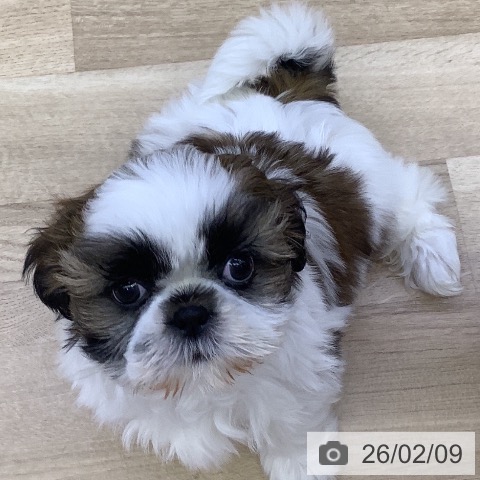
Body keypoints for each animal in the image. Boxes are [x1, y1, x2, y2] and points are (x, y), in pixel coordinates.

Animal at [23, 4, 462, 479]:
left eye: (239, 267)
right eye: (127, 290)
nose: (190, 311)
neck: (208, 378)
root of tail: (283, 93)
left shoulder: (301, 368)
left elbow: (292, 418)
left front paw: (299, 463)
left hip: (372, 181)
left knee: (408, 193)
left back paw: (434, 258)